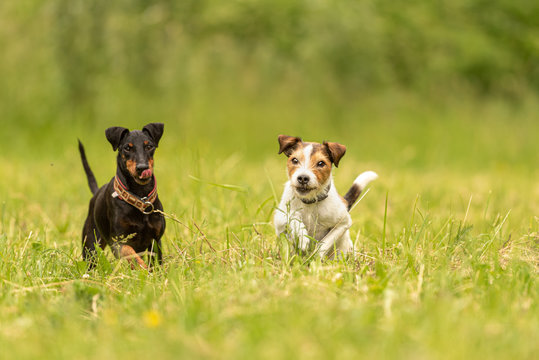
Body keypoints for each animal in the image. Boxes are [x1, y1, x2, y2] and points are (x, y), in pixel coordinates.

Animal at [78, 122, 165, 268]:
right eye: (127, 148)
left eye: (149, 146)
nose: (142, 168)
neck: (140, 197)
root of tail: (96, 192)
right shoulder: (118, 242)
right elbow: (131, 254)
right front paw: (143, 267)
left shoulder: (156, 241)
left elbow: (155, 263)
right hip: (91, 246)